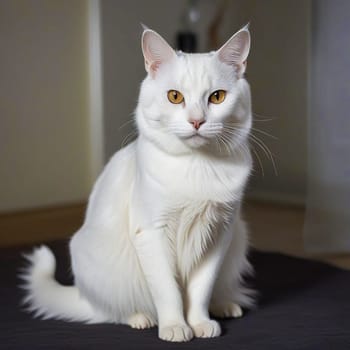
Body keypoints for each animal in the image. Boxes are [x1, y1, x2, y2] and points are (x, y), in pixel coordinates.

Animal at [23, 25, 256, 342]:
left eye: (217, 97)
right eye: (174, 96)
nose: (197, 121)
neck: (197, 166)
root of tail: (84, 296)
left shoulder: (220, 235)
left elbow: (200, 290)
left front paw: (200, 322)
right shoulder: (151, 232)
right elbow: (169, 291)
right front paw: (175, 327)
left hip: (238, 241)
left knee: (218, 290)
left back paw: (225, 305)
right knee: (112, 311)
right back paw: (141, 318)